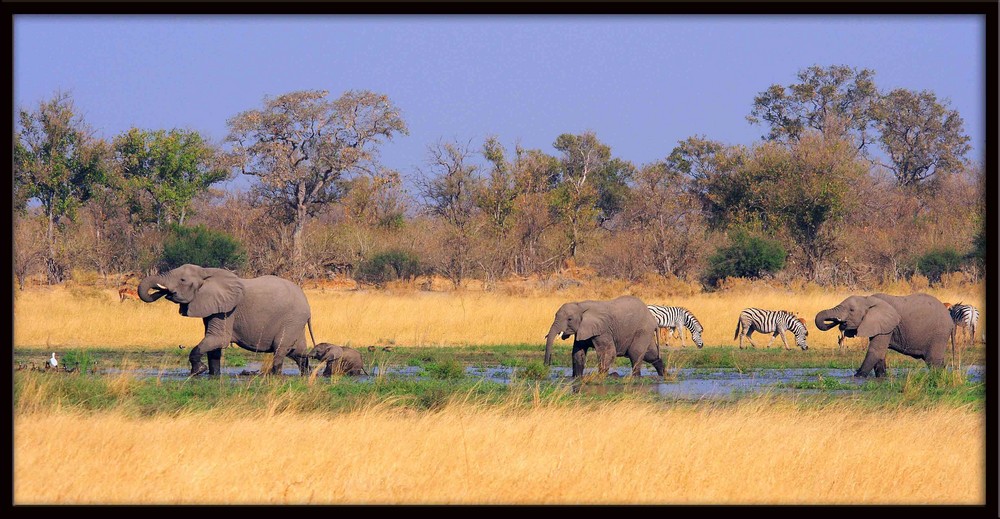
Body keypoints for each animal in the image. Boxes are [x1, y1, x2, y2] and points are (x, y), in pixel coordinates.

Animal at [139, 266, 314, 376]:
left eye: (182, 280)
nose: (167, 292)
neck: (206, 271)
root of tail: (307, 304)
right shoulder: (212, 306)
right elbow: (213, 344)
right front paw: (213, 374)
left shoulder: (227, 310)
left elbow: (218, 339)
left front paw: (198, 371)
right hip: (296, 322)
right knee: (298, 352)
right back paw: (308, 374)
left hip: (292, 319)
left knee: (280, 348)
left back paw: (274, 375)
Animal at [812, 292, 952, 378]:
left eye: (851, 310)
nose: (840, 322)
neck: (867, 299)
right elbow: (880, 354)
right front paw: (882, 377)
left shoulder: (886, 326)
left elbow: (875, 351)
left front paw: (857, 377)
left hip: (939, 334)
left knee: (933, 361)